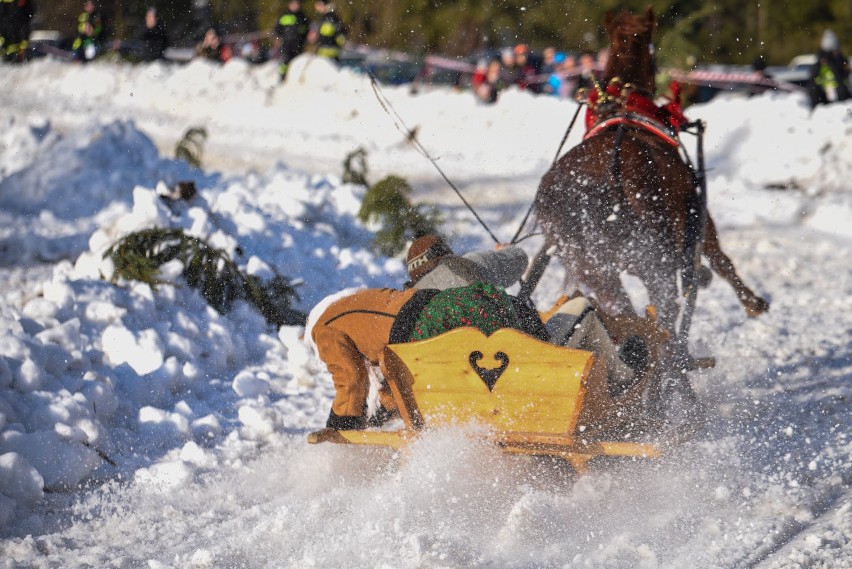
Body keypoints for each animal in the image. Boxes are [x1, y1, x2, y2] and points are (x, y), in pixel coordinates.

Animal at [536, 6, 768, 348]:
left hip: (595, 267)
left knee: (625, 312)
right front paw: (752, 302)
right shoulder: (696, 210)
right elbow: (720, 258)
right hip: (652, 258)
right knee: (666, 310)